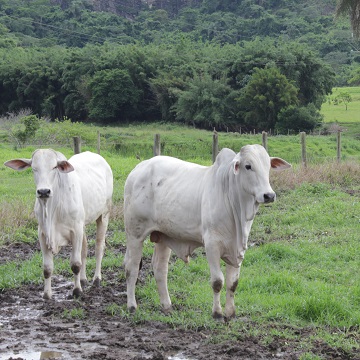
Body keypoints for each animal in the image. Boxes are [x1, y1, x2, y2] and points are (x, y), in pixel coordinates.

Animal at [4, 148, 112, 298]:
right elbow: (47, 268)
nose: (43, 191)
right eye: (34, 168)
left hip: (103, 215)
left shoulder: (76, 231)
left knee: (99, 248)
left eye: (54, 167)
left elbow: (75, 264)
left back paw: (96, 279)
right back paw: (83, 280)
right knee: (84, 249)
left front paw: (77, 291)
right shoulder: (43, 234)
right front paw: (47, 294)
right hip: (83, 224)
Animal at [124, 143, 290, 318]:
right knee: (131, 268)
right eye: (248, 166)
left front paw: (230, 313)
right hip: (134, 234)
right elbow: (217, 281)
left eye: (268, 167)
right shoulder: (212, 245)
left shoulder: (238, 249)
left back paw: (167, 306)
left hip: (163, 235)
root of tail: (139, 168)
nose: (269, 195)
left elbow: (233, 283)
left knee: (160, 269)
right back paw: (132, 306)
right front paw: (217, 313)